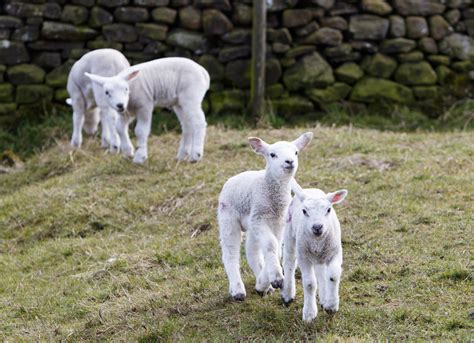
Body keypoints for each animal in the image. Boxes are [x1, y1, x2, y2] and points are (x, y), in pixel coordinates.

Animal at [218, 132, 314, 300]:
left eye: (296, 152)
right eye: (272, 154)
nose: (289, 161)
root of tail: (233, 177)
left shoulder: (278, 222)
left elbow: (277, 248)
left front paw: (266, 282)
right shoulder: (260, 219)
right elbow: (271, 244)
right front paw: (276, 277)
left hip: (251, 224)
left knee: (252, 251)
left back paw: (264, 285)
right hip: (228, 217)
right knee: (230, 253)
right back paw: (237, 290)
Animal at [282, 181, 348, 324]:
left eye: (328, 210)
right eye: (304, 211)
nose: (317, 227)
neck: (317, 240)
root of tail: (308, 189)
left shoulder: (335, 252)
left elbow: (333, 275)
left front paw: (331, 306)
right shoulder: (303, 257)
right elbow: (310, 284)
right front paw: (309, 314)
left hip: (320, 254)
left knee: (321, 271)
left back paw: (324, 298)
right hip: (290, 236)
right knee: (289, 263)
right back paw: (287, 295)